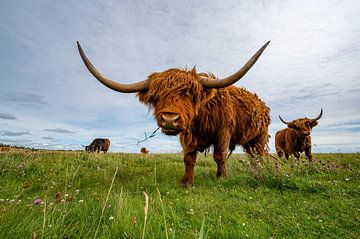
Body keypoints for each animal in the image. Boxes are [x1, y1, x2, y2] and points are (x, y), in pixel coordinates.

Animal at [78, 41, 270, 187]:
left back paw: (259, 172)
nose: (170, 119)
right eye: (156, 96)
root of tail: (262, 105)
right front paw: (186, 182)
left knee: (258, 155)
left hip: (259, 137)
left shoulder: (223, 132)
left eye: (190, 94)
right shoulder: (188, 136)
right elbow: (189, 158)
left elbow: (219, 156)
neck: (201, 118)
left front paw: (222, 177)